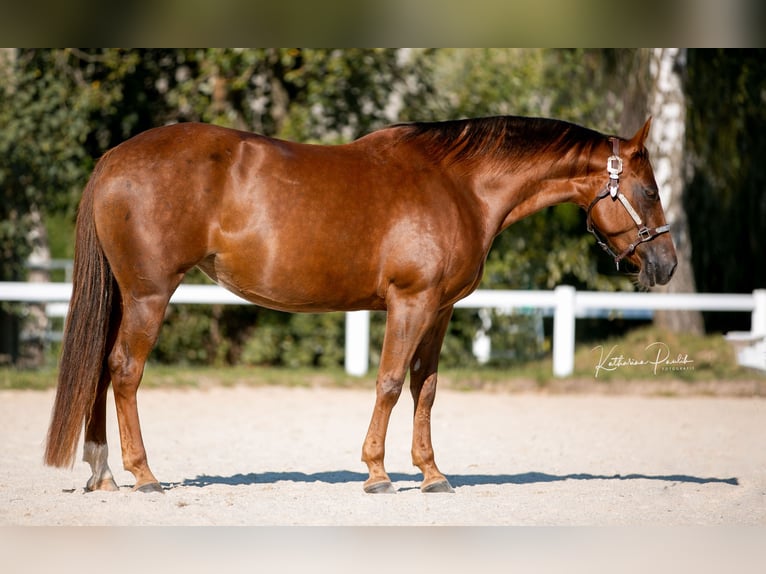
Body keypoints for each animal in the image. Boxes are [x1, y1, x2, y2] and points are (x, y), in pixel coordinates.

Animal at [43, 116, 680, 496]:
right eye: (649, 190)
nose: (666, 265)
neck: (459, 186)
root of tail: (113, 159)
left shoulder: (440, 310)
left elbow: (425, 388)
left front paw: (432, 473)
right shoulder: (410, 303)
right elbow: (391, 383)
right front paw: (377, 473)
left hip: (123, 296)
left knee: (98, 370)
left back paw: (101, 474)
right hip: (149, 295)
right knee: (124, 372)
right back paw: (143, 474)